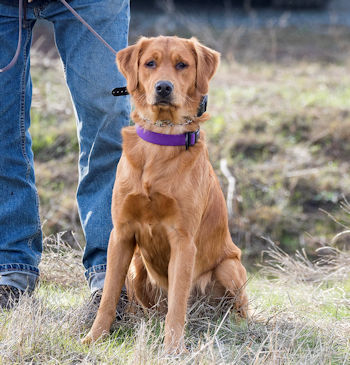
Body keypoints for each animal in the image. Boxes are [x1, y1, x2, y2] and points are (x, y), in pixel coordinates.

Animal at [82, 35, 247, 352]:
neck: (161, 139)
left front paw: (173, 349)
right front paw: (94, 337)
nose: (163, 87)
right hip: (136, 268)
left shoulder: (183, 241)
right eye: (150, 63)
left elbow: (177, 305)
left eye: (182, 65)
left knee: (234, 308)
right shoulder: (121, 235)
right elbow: (108, 296)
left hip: (230, 267)